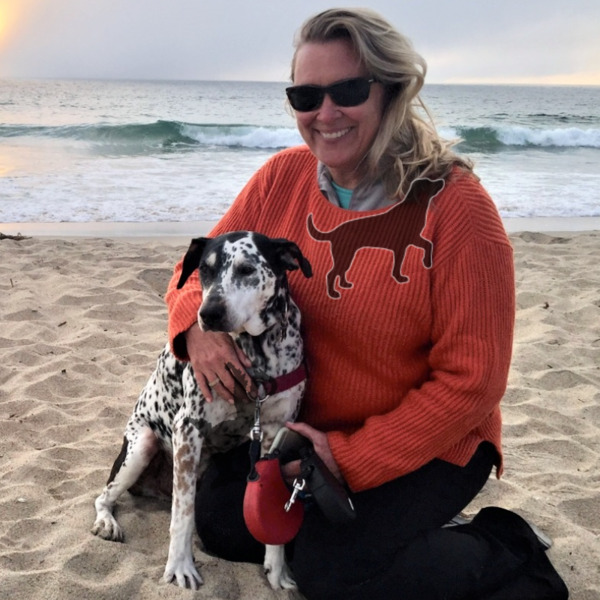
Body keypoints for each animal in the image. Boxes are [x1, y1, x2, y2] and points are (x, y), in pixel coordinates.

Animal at [92, 231, 312, 590]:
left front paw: (277, 570)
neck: (255, 354)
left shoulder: (275, 433)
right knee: (106, 496)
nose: (208, 314)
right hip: (141, 447)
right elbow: (181, 516)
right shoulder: (188, 427)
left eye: (247, 269)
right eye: (204, 270)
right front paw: (180, 565)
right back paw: (107, 522)